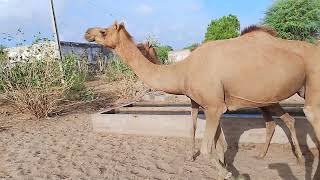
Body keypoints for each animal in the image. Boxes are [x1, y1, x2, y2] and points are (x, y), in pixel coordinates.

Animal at [85, 21, 320, 179]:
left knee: (307, 115)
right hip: (276, 96)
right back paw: (291, 158)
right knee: (283, 120)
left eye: (104, 31)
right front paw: (219, 165)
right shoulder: (205, 104)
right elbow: (209, 138)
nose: (87, 32)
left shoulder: (215, 107)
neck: (182, 71)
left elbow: (209, 146)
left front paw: (226, 173)